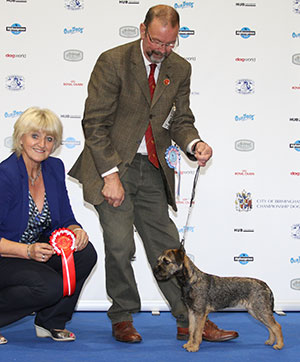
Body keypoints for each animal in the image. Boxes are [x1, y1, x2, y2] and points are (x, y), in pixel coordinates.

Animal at [155, 247, 284, 352]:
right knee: (270, 327)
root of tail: (266, 286)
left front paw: (195, 347)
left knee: (276, 326)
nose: (155, 271)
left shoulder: (200, 313)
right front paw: (189, 344)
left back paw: (279, 345)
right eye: (158, 261)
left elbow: (197, 332)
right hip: (256, 311)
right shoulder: (191, 312)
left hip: (260, 310)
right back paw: (271, 341)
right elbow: (191, 329)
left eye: (166, 261)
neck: (191, 280)